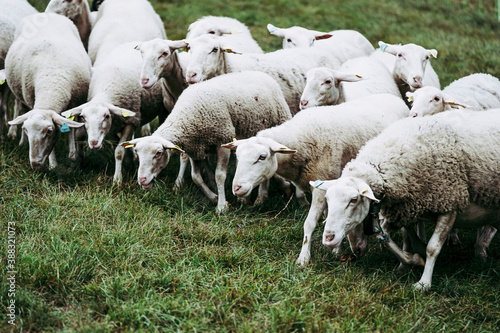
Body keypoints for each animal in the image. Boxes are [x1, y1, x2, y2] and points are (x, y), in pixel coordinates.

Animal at [6, 13, 91, 169]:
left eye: (49, 131)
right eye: (26, 130)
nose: (35, 164)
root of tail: (45, 13)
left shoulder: (77, 102)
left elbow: (76, 132)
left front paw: (76, 157)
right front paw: (53, 165)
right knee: (18, 106)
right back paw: (18, 138)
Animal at [122, 71, 292, 211]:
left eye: (158, 153)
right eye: (137, 152)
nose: (142, 180)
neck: (185, 117)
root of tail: (261, 73)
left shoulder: (223, 139)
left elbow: (219, 175)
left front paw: (222, 206)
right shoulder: (194, 148)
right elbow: (196, 177)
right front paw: (213, 197)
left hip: (280, 117)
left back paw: (266, 195)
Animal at [223, 92, 410, 264]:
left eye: (262, 157)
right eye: (237, 156)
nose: (236, 188)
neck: (302, 141)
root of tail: (392, 96)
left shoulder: (320, 187)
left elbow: (310, 223)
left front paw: (304, 259)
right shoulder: (326, 186)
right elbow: (330, 215)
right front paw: (336, 249)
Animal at [316, 109, 500, 290]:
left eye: (353, 200)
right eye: (328, 199)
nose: (328, 239)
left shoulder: (450, 203)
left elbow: (432, 247)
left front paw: (423, 283)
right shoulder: (407, 207)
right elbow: (391, 236)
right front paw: (411, 261)